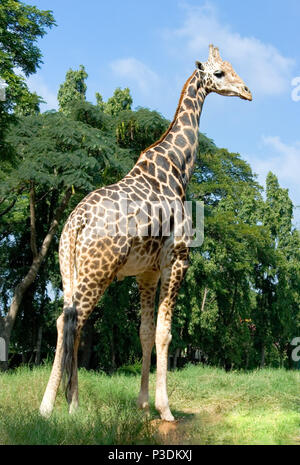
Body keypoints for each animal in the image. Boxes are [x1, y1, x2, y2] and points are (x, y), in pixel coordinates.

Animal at [39, 46, 251, 420]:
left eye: (231, 68)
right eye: (220, 73)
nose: (246, 91)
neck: (178, 169)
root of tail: (76, 222)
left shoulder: (146, 272)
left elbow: (145, 332)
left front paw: (142, 404)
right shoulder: (177, 260)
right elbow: (165, 334)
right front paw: (164, 409)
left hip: (69, 269)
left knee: (69, 321)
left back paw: (73, 403)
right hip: (98, 271)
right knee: (69, 321)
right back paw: (48, 406)